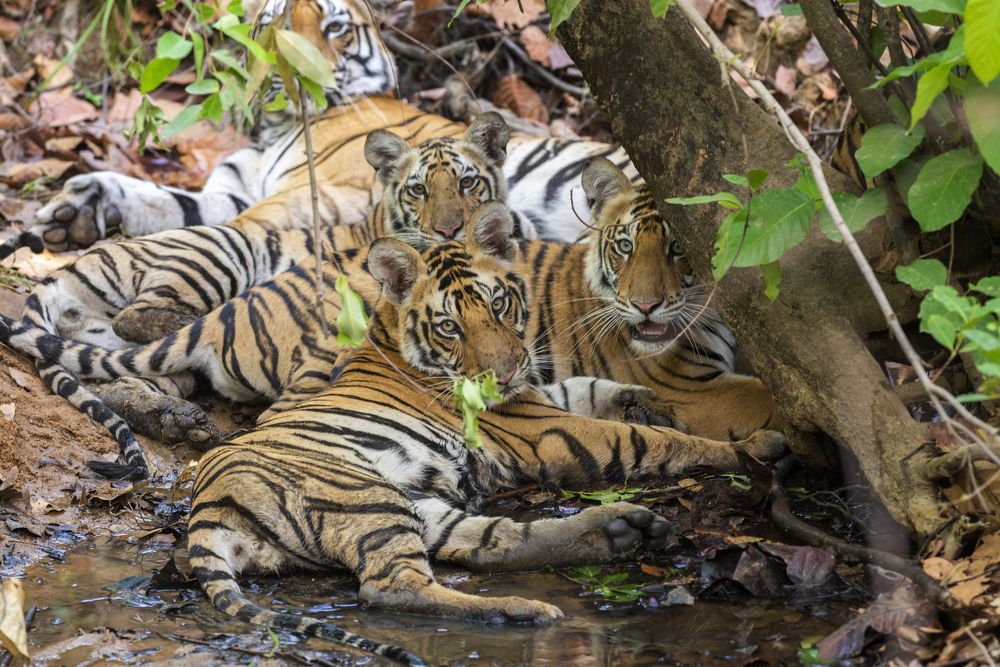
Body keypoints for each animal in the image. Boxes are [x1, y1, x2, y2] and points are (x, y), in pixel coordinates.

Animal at [183, 200, 786, 665]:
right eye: (450, 326)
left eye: (498, 304)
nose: (503, 372)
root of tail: (204, 505)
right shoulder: (544, 428)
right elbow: (655, 441)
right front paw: (756, 446)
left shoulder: (540, 397)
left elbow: (592, 388)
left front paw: (644, 399)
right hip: (362, 495)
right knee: (391, 586)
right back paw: (526, 609)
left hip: (415, 505)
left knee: (489, 545)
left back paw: (614, 532)